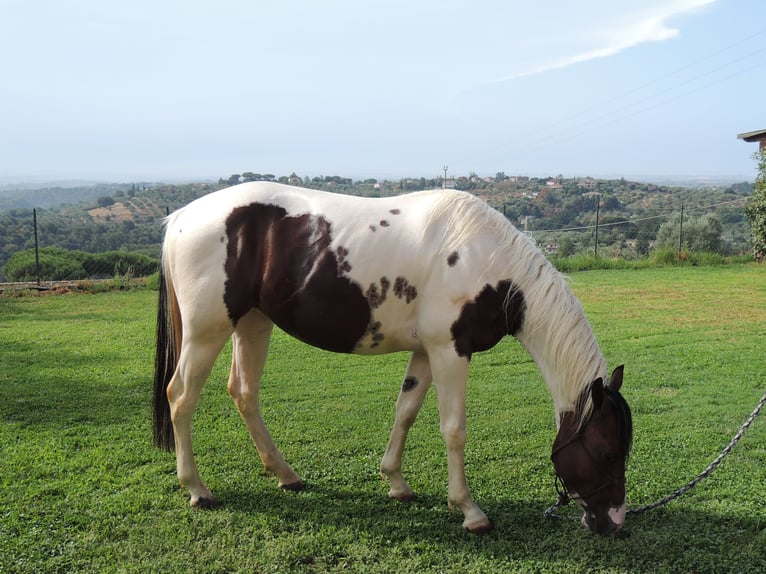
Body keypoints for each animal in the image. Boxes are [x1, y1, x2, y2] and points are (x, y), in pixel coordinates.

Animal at [152, 183, 636, 536]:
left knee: (244, 392)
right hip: (207, 332)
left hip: (253, 323)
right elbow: (453, 430)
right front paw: (469, 510)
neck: (485, 262)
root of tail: (180, 219)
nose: (614, 522)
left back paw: (286, 475)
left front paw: (396, 483)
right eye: (609, 453)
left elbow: (405, 412)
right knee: (181, 397)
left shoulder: (425, 352)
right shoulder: (450, 351)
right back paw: (197, 489)